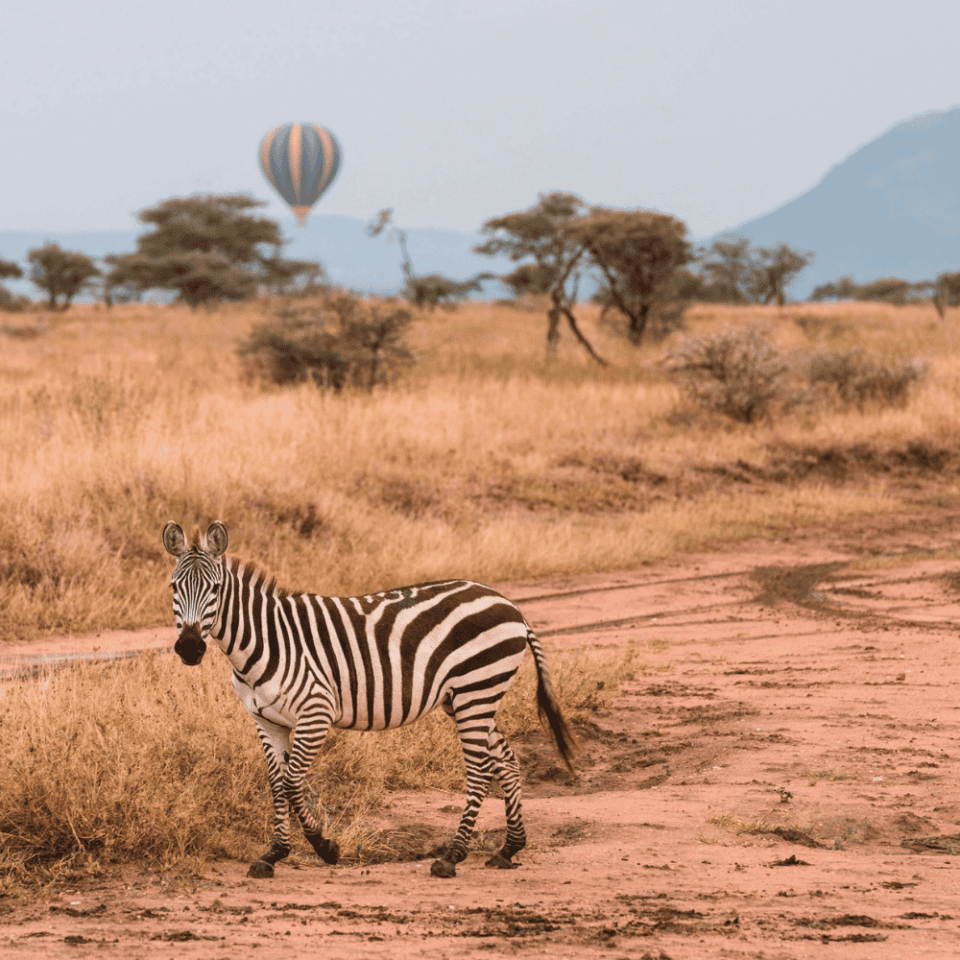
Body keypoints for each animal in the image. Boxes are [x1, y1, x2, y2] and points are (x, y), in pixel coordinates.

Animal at [162, 520, 578, 880]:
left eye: (216, 589)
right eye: (173, 588)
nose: (189, 648)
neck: (264, 640)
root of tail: (510, 605)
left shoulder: (316, 712)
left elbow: (293, 782)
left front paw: (325, 847)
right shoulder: (267, 719)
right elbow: (277, 784)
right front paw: (274, 854)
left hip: (477, 691)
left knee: (479, 770)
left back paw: (451, 856)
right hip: (467, 698)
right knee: (506, 759)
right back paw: (509, 848)